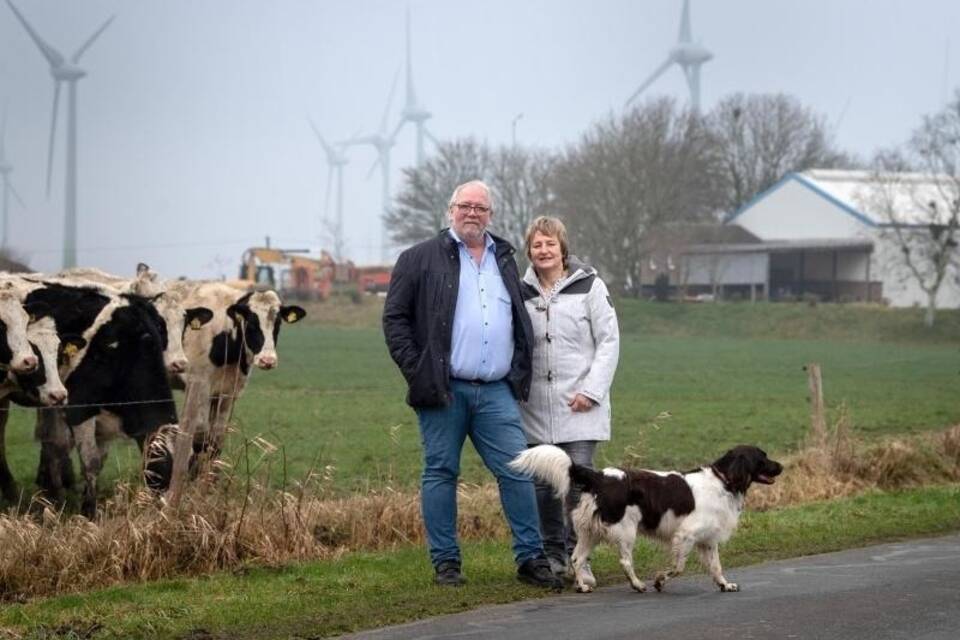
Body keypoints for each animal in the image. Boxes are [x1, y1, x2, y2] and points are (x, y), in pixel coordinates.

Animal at [510, 444, 780, 596]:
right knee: (625, 560)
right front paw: (659, 581)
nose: (781, 467)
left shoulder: (707, 540)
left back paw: (582, 586)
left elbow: (716, 567)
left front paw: (725, 585)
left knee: (576, 558)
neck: (723, 481)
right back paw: (638, 584)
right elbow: (678, 567)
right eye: (762, 457)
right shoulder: (686, 535)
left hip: (590, 531)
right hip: (625, 529)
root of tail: (599, 476)